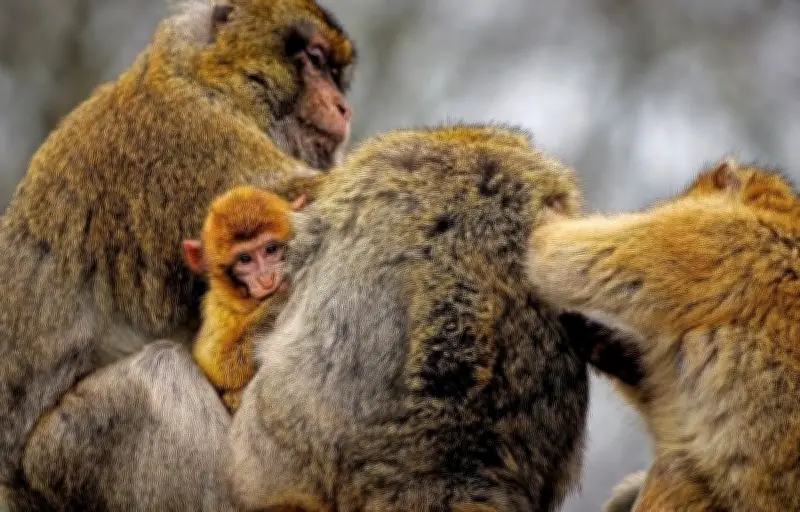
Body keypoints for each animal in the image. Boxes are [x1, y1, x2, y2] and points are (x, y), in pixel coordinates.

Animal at [183, 186, 305, 411]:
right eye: (245, 259)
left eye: (271, 249)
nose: (266, 279)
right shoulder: (218, 308)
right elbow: (218, 364)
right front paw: (281, 296)